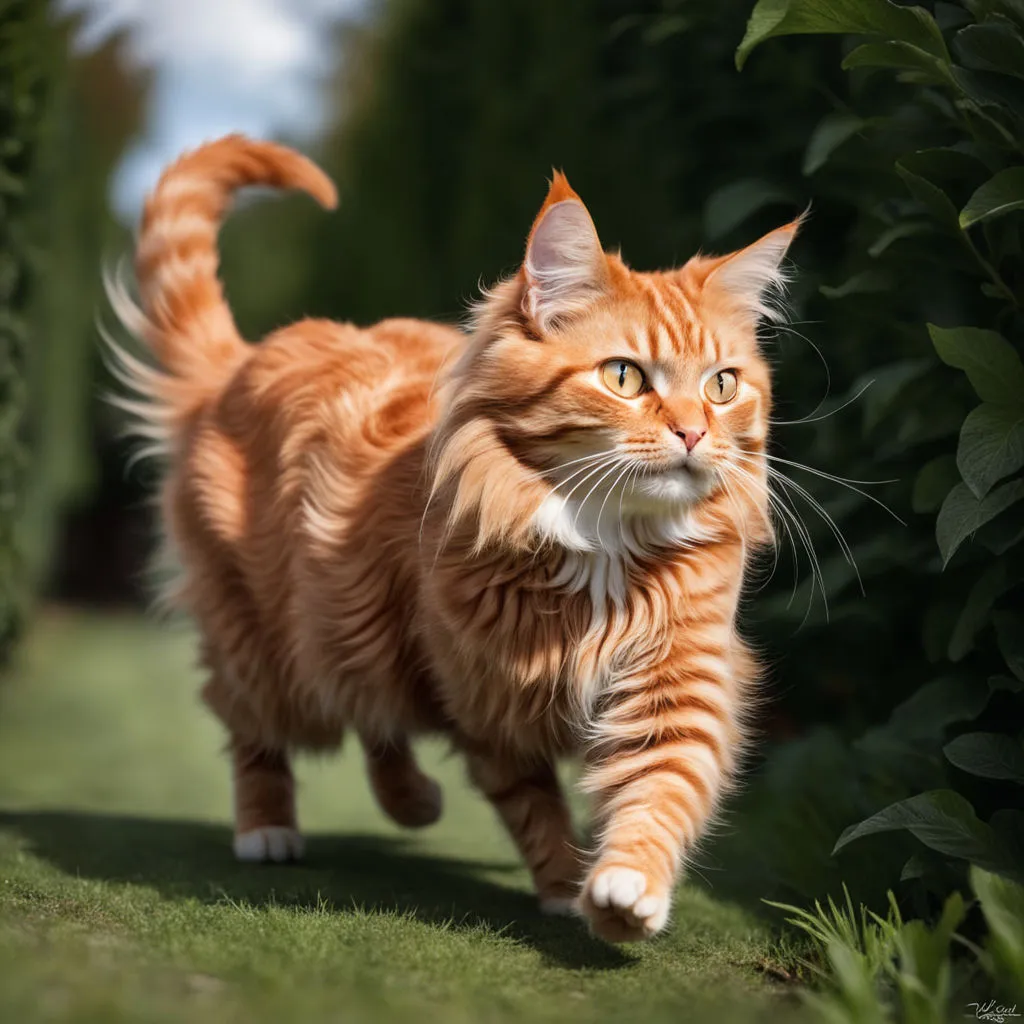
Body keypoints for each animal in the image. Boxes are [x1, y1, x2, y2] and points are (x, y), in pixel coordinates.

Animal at [112, 136, 798, 942]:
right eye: (625, 377)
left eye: (723, 385)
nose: (694, 433)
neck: (602, 541)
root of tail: (239, 364)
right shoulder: (484, 696)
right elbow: (535, 809)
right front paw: (564, 886)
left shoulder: (677, 679)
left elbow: (659, 791)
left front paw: (626, 893)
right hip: (277, 642)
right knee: (260, 726)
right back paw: (268, 828)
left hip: (352, 625)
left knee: (375, 719)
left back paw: (413, 802)